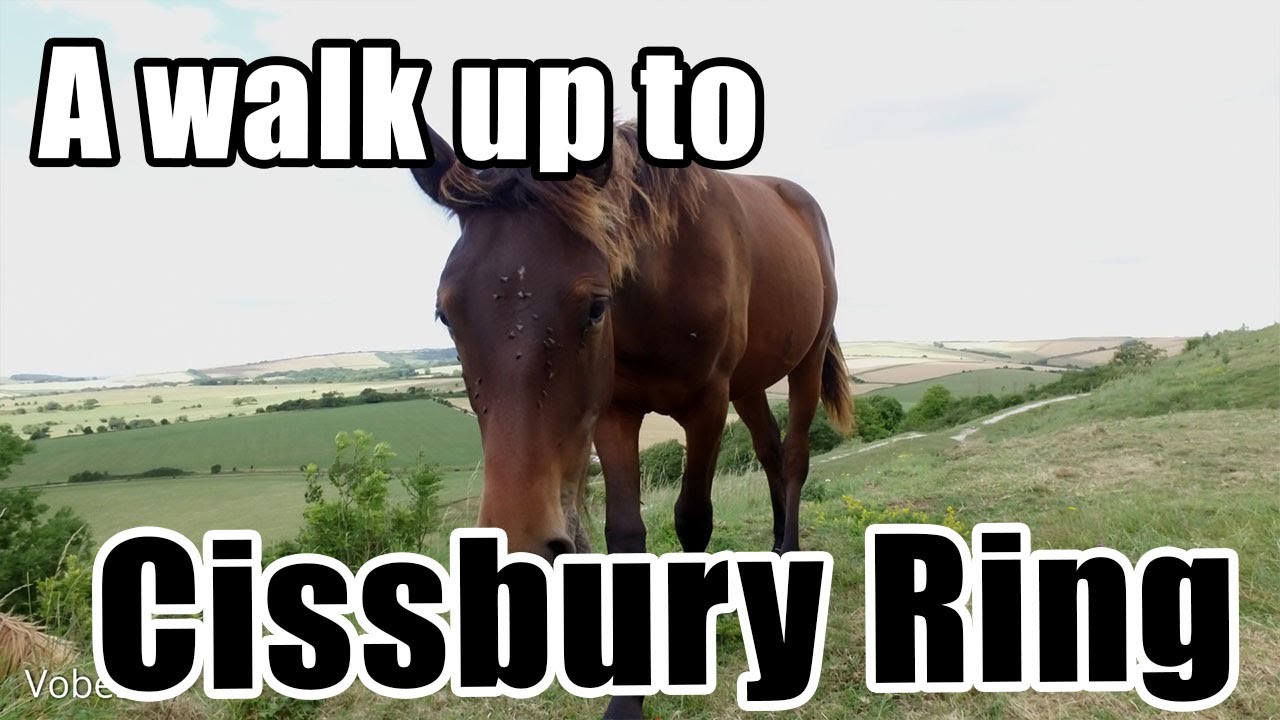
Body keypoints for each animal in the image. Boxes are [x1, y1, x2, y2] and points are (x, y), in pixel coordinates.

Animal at [413, 122, 851, 717]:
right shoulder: (614, 415)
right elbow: (624, 533)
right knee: (771, 453)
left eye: (596, 306)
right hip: (750, 386)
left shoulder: (707, 406)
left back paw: (790, 553)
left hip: (804, 365)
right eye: (445, 313)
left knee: (797, 458)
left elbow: (693, 520)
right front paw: (625, 700)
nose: (519, 544)